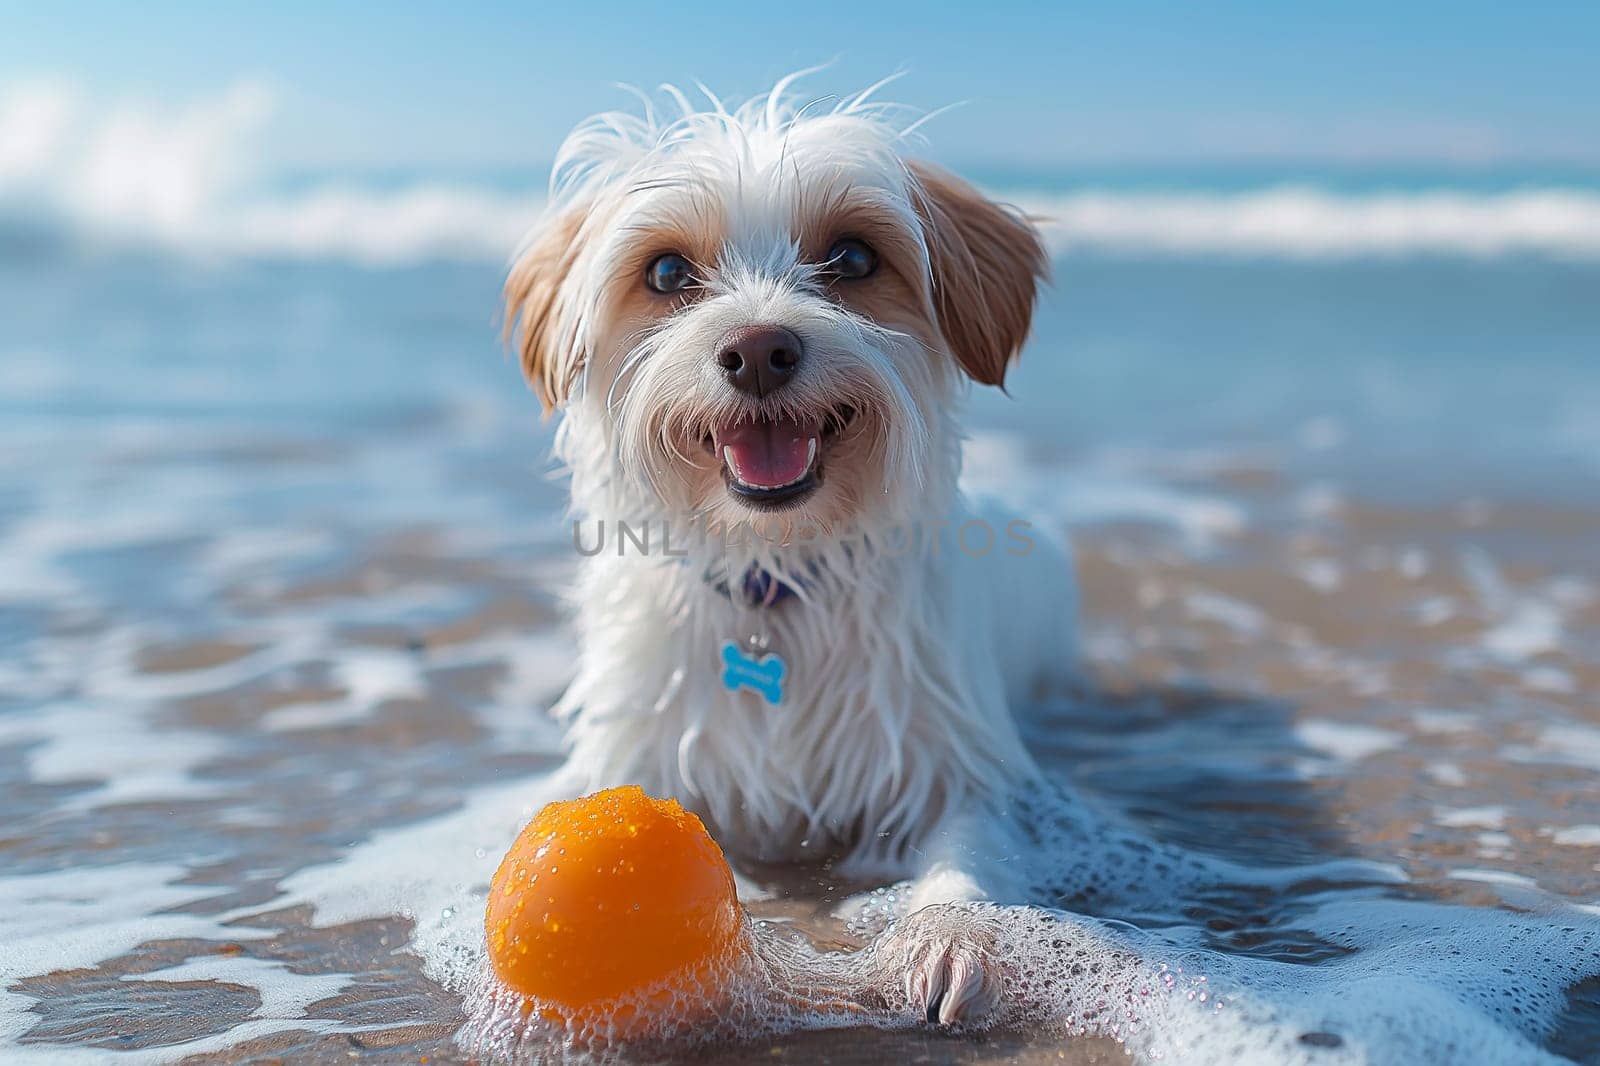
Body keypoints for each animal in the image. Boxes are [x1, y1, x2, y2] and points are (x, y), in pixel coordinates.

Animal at [505, 74, 1081, 1024]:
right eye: (667, 273)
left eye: (851, 258)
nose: (758, 349)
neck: (772, 574)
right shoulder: (640, 752)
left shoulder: (954, 758)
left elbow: (966, 856)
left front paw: (949, 938)